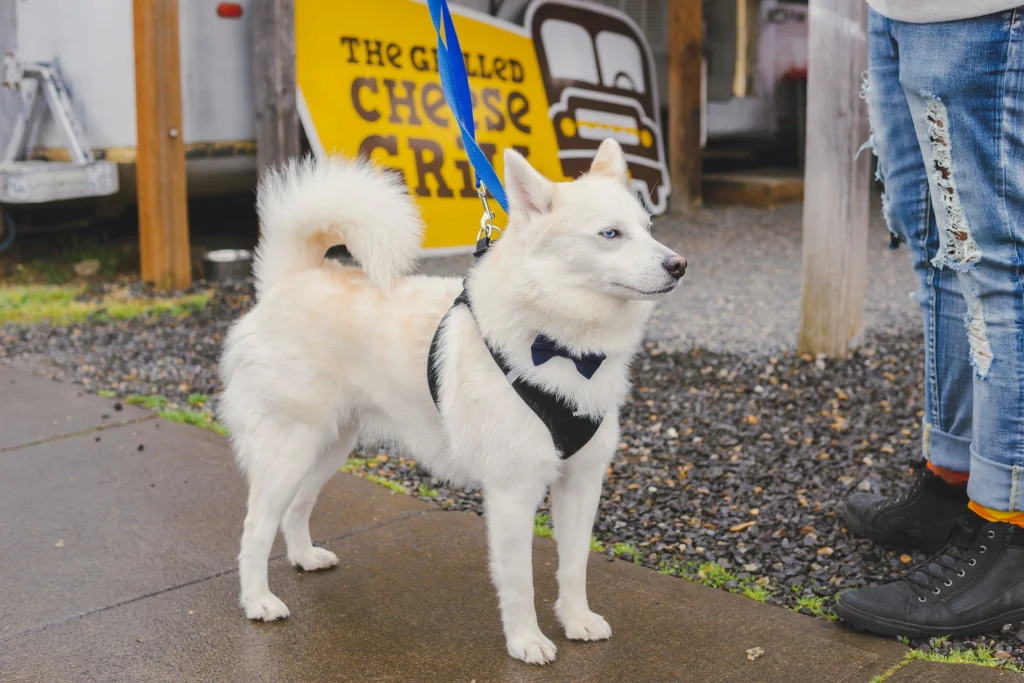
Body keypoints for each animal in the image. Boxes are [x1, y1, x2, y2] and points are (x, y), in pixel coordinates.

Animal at [221, 139, 692, 663]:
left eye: (648, 228)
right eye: (611, 233)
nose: (678, 264)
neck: (561, 346)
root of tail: (290, 278)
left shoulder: (582, 482)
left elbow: (574, 565)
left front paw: (576, 620)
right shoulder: (512, 493)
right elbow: (520, 581)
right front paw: (526, 641)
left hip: (328, 448)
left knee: (297, 508)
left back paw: (305, 557)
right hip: (290, 449)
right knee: (255, 528)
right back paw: (258, 602)